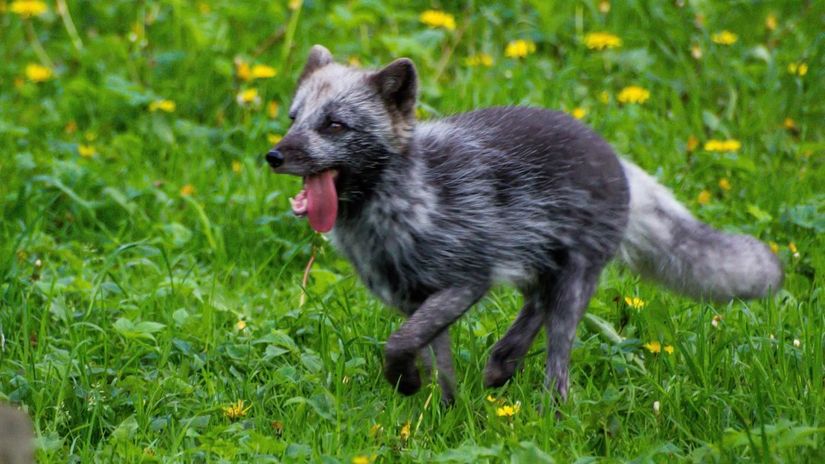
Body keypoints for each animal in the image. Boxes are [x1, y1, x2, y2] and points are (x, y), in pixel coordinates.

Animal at [268, 45, 784, 404]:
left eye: (335, 126)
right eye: (294, 118)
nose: (273, 156)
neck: (404, 206)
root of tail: (615, 156)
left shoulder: (465, 281)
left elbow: (398, 344)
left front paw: (408, 384)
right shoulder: (415, 297)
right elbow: (435, 358)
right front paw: (444, 411)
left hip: (574, 279)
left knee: (558, 353)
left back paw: (549, 408)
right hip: (535, 264)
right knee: (536, 302)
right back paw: (503, 362)